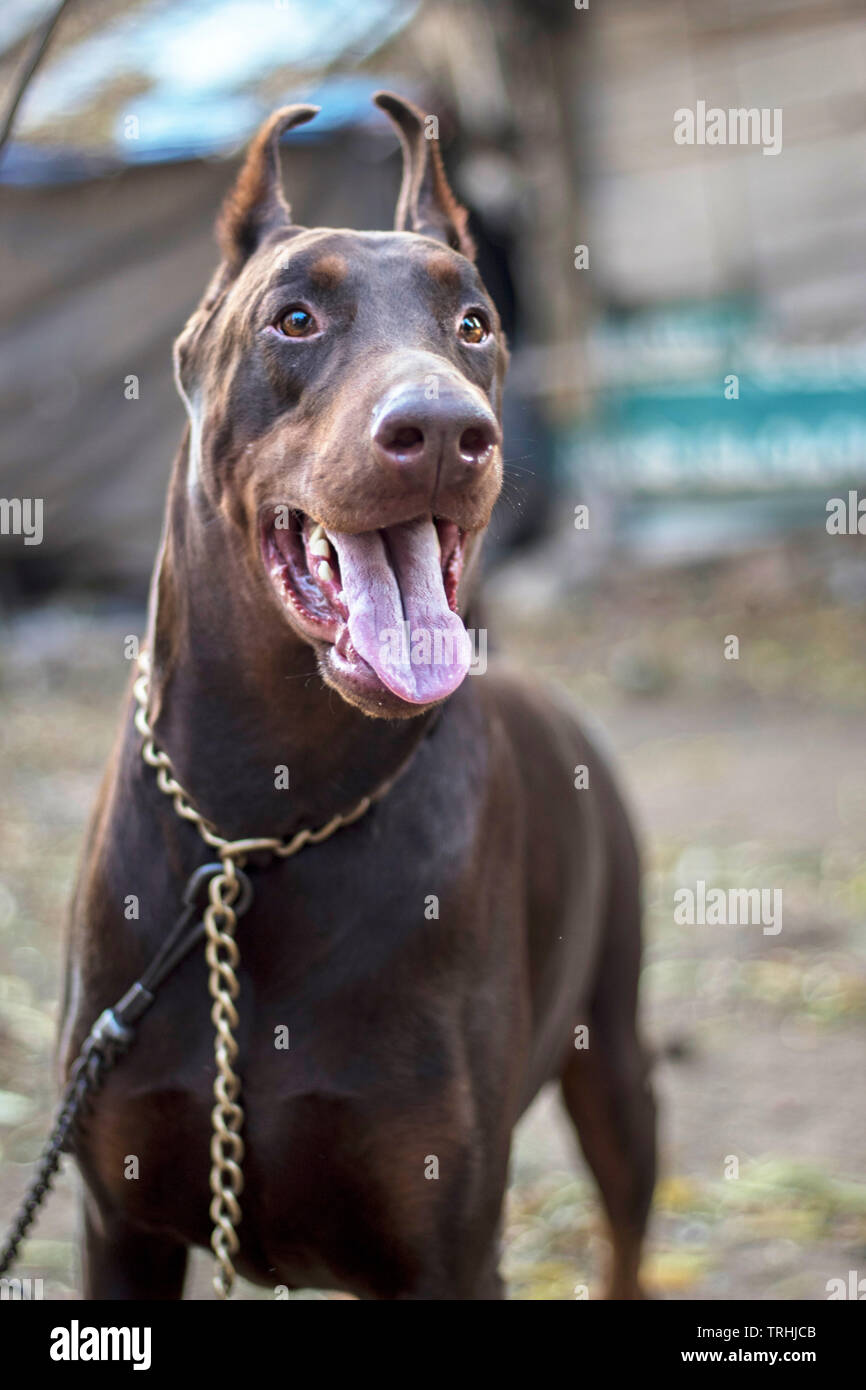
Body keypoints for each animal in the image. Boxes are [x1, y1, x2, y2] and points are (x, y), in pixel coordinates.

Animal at [61, 92, 653, 1295]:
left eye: (472, 323)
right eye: (293, 319)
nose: (447, 431)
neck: (263, 824)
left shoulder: (445, 1243)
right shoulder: (118, 1221)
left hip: (613, 1050)